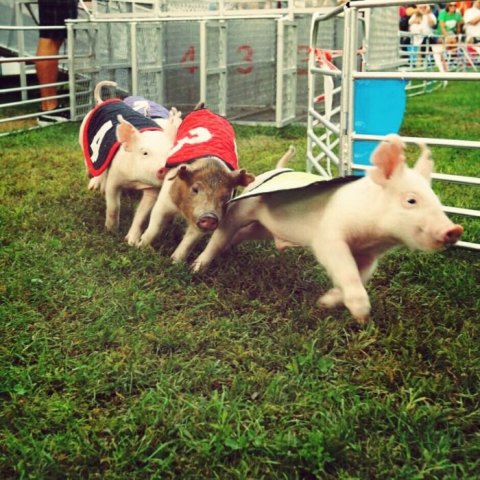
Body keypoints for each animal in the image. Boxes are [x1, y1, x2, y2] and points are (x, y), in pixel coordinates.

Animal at [192, 134, 464, 322]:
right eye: (411, 200)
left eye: (436, 198)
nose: (454, 230)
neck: (372, 235)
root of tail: (276, 170)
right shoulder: (329, 237)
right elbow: (345, 269)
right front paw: (361, 316)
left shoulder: (370, 255)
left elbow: (361, 274)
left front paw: (324, 303)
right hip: (244, 207)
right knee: (222, 232)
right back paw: (197, 268)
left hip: (263, 228)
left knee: (241, 235)